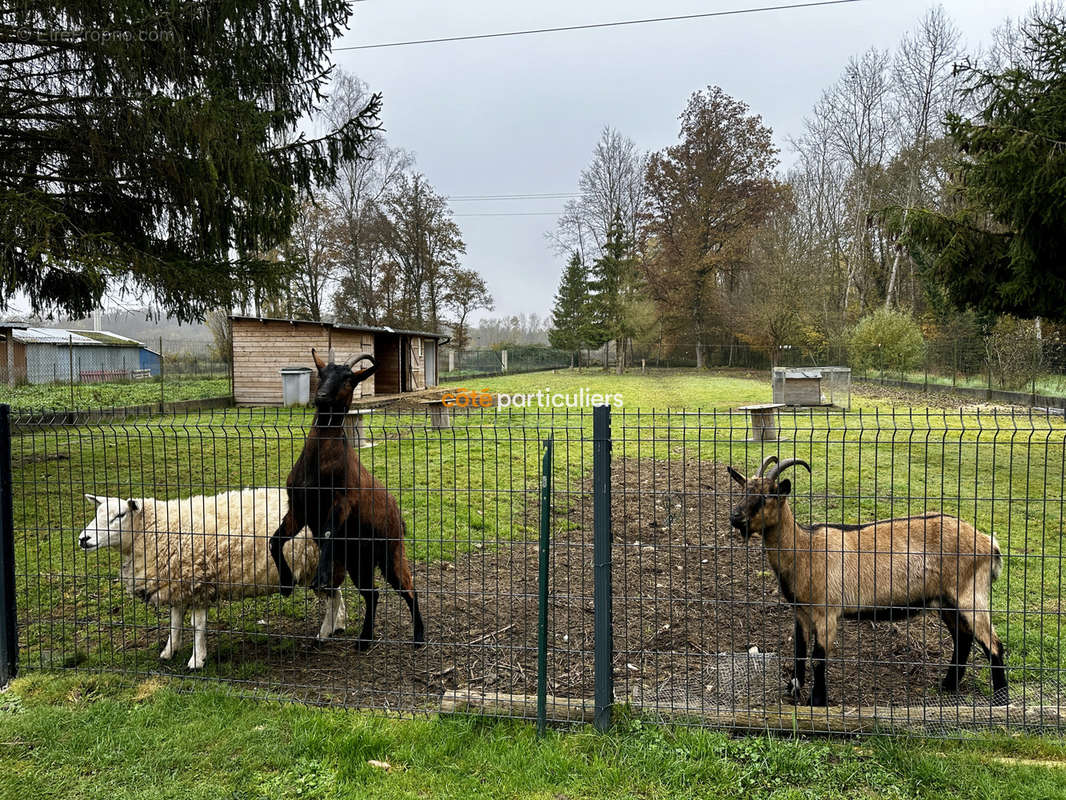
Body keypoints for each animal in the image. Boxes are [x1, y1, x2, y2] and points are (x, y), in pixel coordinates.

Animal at [78, 488, 345, 669]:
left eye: (120, 515)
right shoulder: (177, 584)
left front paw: (197, 659)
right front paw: (169, 651)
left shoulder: (198, 584)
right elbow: (175, 623)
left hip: (318, 565)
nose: (83, 539)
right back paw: (336, 626)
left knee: (333, 598)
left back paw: (323, 634)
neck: (156, 529)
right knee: (337, 596)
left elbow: (198, 626)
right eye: (97, 512)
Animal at [268, 349, 426, 652]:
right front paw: (286, 584)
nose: (321, 397)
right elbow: (275, 539)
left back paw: (419, 637)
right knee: (372, 592)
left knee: (408, 588)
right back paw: (364, 639)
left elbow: (329, 534)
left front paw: (320, 579)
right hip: (358, 560)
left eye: (349, 379)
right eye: (322, 373)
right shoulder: (300, 509)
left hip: (390, 552)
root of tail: (398, 514)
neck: (319, 464)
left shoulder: (341, 503)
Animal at [724, 456, 1006, 708]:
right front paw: (793, 689)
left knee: (993, 643)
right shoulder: (801, 612)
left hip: (970, 594)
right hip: (945, 600)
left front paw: (817, 701)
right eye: (743, 491)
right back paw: (948, 685)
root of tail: (988, 543)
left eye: (765, 497)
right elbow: (799, 651)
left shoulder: (827, 613)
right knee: (964, 637)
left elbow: (818, 658)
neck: (805, 548)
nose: (735, 517)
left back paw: (1000, 699)